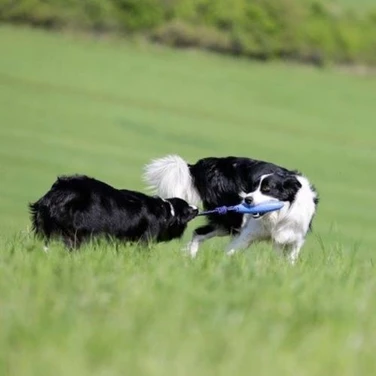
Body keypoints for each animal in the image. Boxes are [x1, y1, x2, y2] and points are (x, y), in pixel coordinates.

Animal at [142, 154, 318, 262]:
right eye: (253, 187)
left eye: (267, 189)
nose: (247, 199)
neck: (279, 215)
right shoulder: (249, 232)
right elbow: (232, 251)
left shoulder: (295, 238)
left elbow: (290, 260)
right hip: (232, 217)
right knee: (202, 232)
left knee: (199, 232)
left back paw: (190, 256)